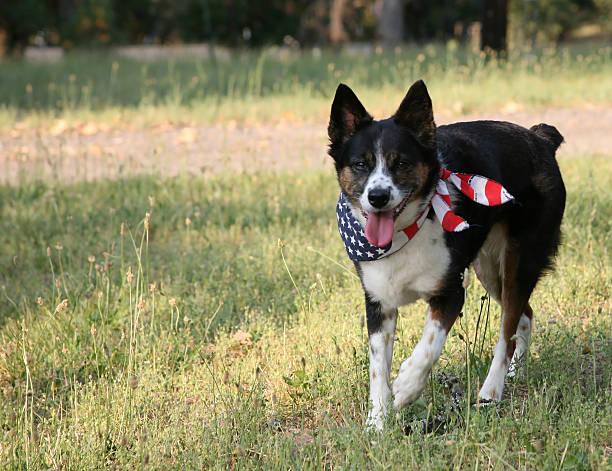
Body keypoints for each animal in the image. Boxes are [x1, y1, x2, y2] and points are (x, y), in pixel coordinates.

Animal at [328, 81, 568, 432]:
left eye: (401, 163)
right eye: (361, 164)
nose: (378, 196)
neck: (408, 230)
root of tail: (540, 139)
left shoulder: (451, 293)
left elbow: (428, 348)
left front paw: (405, 389)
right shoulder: (379, 304)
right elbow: (377, 371)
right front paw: (377, 422)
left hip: (519, 261)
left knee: (507, 330)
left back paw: (491, 392)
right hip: (488, 267)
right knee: (523, 316)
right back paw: (515, 373)